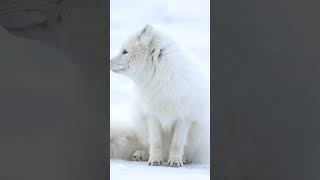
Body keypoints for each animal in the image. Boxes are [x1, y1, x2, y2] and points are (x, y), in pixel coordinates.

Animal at [110, 24, 210, 167]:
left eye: (125, 51)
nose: (108, 62)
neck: (161, 79)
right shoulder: (152, 115)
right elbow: (155, 142)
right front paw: (154, 160)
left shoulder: (184, 117)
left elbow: (177, 143)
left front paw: (175, 161)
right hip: (142, 128)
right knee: (147, 145)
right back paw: (142, 154)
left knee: (189, 152)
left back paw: (184, 158)